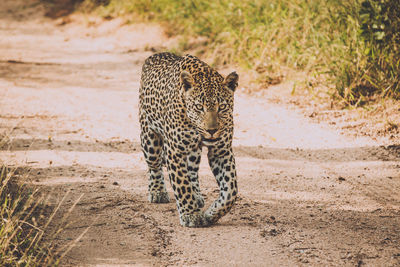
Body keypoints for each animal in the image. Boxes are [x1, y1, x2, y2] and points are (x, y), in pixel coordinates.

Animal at [139, 52, 238, 228]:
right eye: (199, 107)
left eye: (222, 107)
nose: (211, 130)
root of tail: (154, 54)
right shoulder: (175, 152)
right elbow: (182, 185)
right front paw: (191, 215)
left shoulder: (221, 151)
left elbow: (231, 191)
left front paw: (211, 214)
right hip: (150, 138)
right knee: (154, 165)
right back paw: (157, 191)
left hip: (193, 153)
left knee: (192, 171)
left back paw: (196, 196)